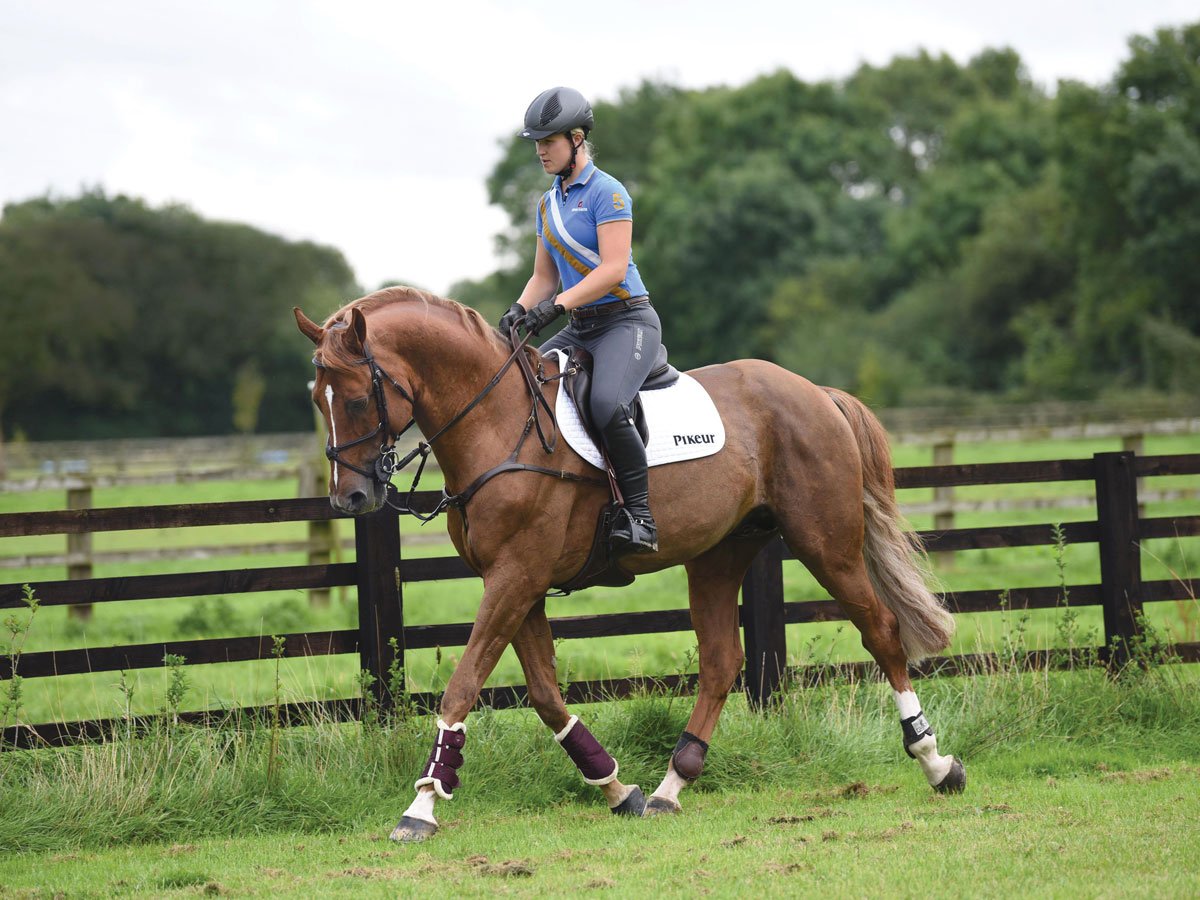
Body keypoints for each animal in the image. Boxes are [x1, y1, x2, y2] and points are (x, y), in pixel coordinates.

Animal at [292, 285, 964, 844]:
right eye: (317, 400)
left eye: (358, 399)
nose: (350, 500)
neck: (497, 423)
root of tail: (813, 392)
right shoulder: (517, 583)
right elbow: (545, 695)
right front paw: (618, 789)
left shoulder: (515, 577)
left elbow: (463, 686)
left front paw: (423, 805)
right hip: (721, 554)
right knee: (722, 662)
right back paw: (671, 786)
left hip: (826, 542)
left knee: (880, 631)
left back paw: (935, 762)